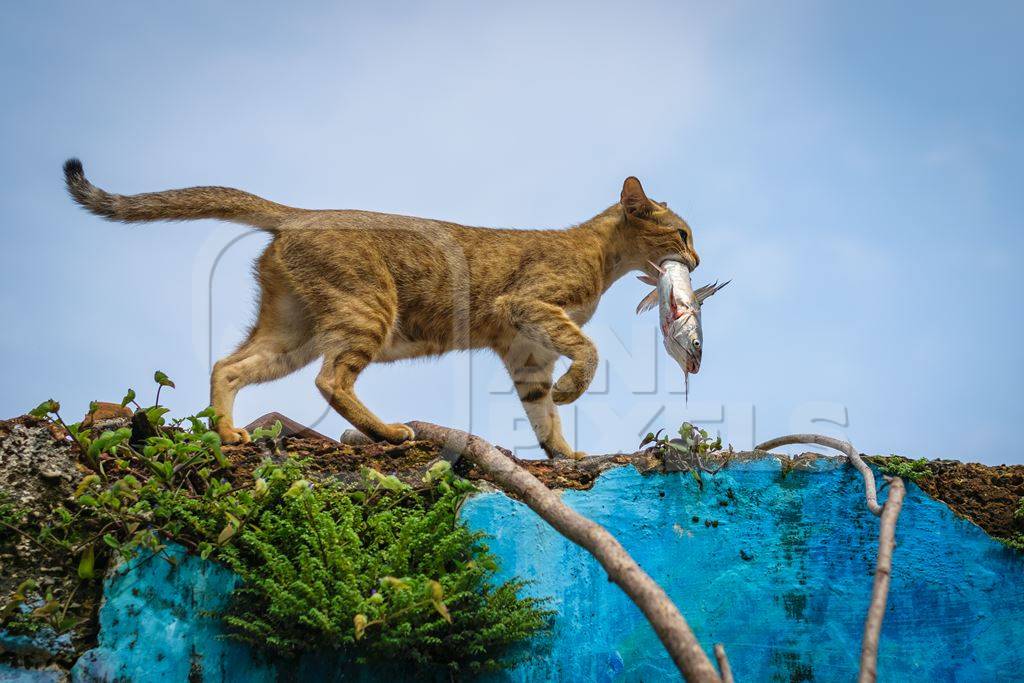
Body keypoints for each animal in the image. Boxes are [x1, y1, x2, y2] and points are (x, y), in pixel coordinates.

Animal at [64, 159, 700, 458]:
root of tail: (299, 214)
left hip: (294, 329)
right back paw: (389, 431)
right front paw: (573, 394)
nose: (696, 260)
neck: (600, 256)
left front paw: (563, 453)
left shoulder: (527, 352)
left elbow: (542, 411)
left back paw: (227, 432)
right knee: (329, 381)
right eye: (682, 233)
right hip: (367, 310)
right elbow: (588, 354)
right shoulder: (528, 306)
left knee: (230, 366)